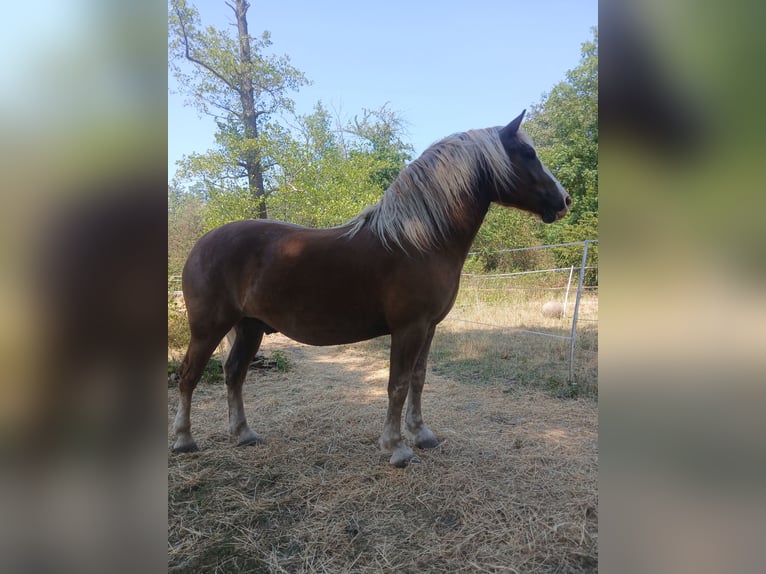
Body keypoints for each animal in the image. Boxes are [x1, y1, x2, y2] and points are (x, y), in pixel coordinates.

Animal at [171, 110, 571, 467]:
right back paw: (184, 440)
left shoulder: (429, 328)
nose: (564, 201)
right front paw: (396, 448)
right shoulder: (408, 329)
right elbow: (397, 384)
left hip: (250, 327)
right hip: (208, 328)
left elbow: (418, 380)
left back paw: (243, 434)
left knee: (234, 374)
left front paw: (422, 434)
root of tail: (201, 244)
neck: (419, 239)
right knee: (189, 375)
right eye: (528, 153)